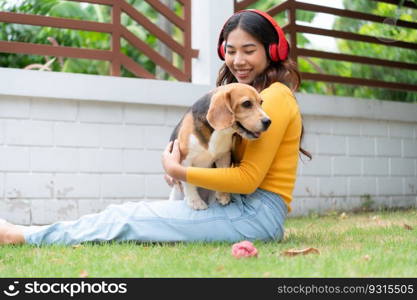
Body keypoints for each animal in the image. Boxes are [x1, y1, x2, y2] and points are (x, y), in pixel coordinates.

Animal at [168, 81, 270, 209]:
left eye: (261, 102)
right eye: (246, 103)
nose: (268, 121)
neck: (219, 133)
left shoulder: (224, 156)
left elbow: (223, 174)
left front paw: (223, 196)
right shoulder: (184, 159)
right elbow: (188, 182)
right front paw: (195, 202)